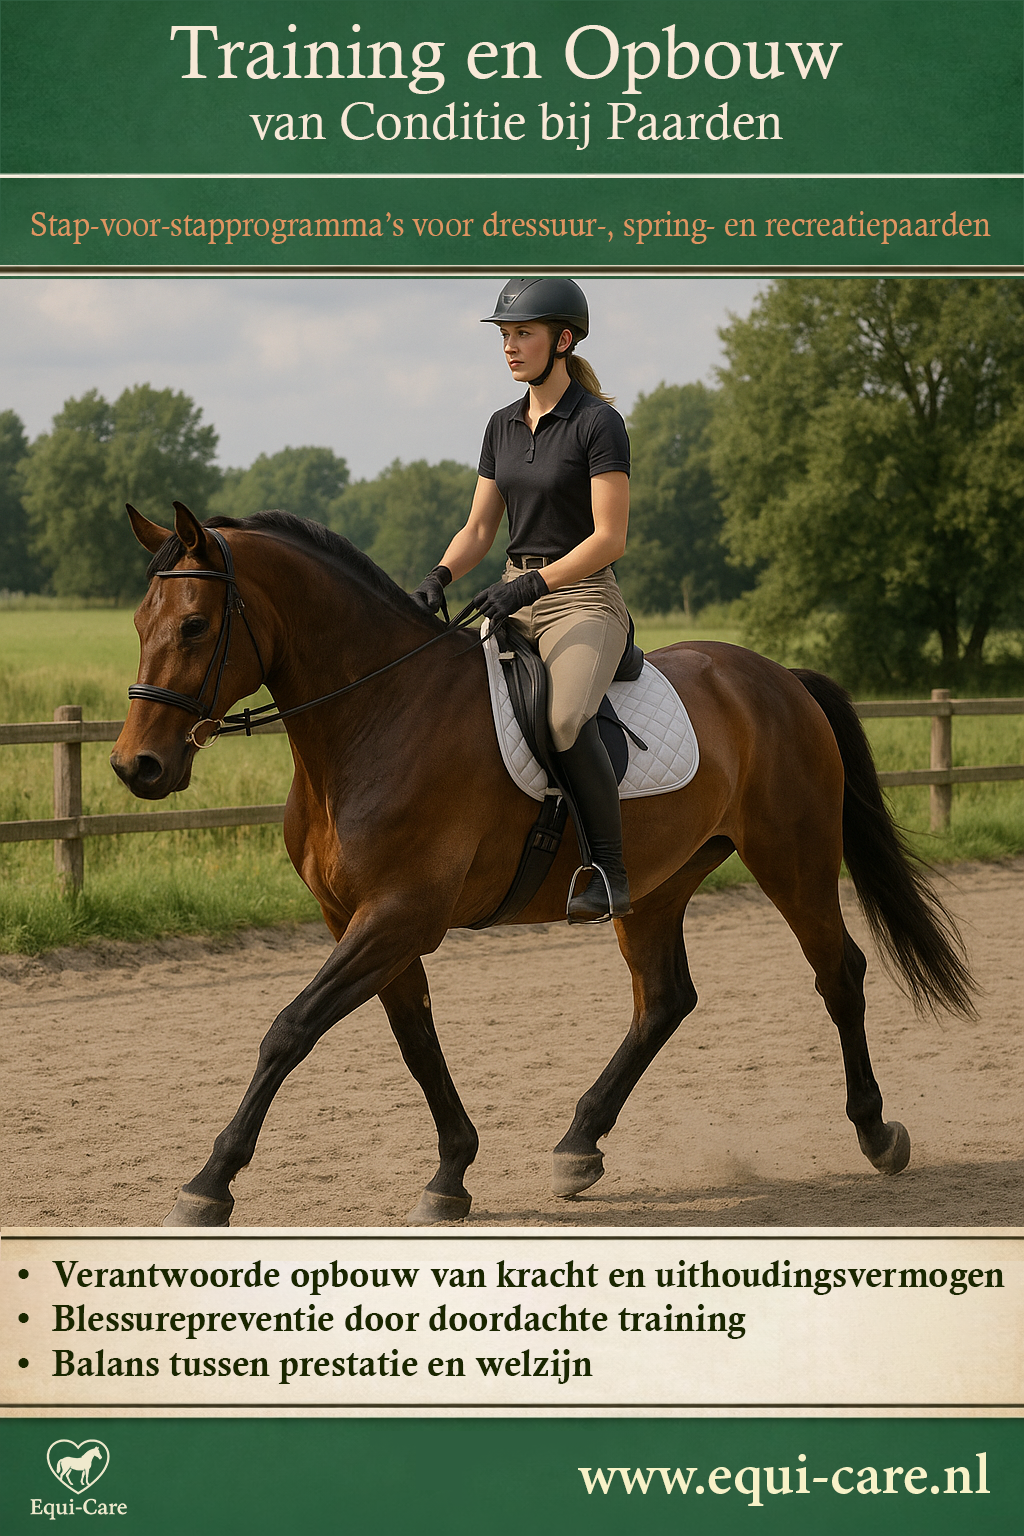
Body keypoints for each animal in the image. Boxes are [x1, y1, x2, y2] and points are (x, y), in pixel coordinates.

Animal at [111, 503, 974, 1226]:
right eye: (139, 623)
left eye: (194, 626)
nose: (136, 767)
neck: (377, 715)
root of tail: (776, 675)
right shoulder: (361, 920)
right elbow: (413, 1038)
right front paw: (451, 1174)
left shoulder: (399, 914)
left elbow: (289, 1030)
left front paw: (208, 1185)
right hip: (656, 883)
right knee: (664, 1000)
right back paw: (579, 1145)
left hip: (792, 859)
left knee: (839, 973)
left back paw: (876, 1132)